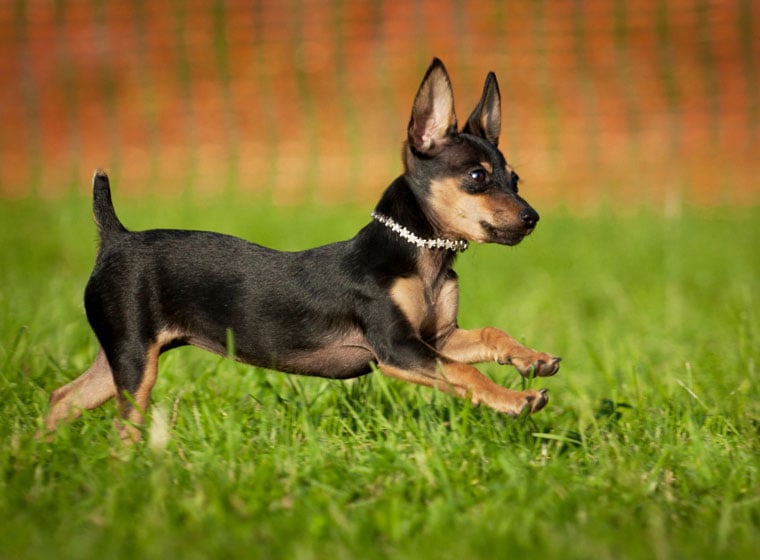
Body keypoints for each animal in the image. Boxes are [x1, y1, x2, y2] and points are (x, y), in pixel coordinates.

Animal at [44, 58, 560, 442]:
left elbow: (492, 334)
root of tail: (116, 235)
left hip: (122, 353)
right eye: (476, 177)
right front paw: (514, 400)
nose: (532, 217)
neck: (422, 255)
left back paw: (40, 458)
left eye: (515, 180)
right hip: (135, 360)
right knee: (121, 429)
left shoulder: (438, 338)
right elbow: (464, 376)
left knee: (62, 398)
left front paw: (531, 359)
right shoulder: (399, 350)